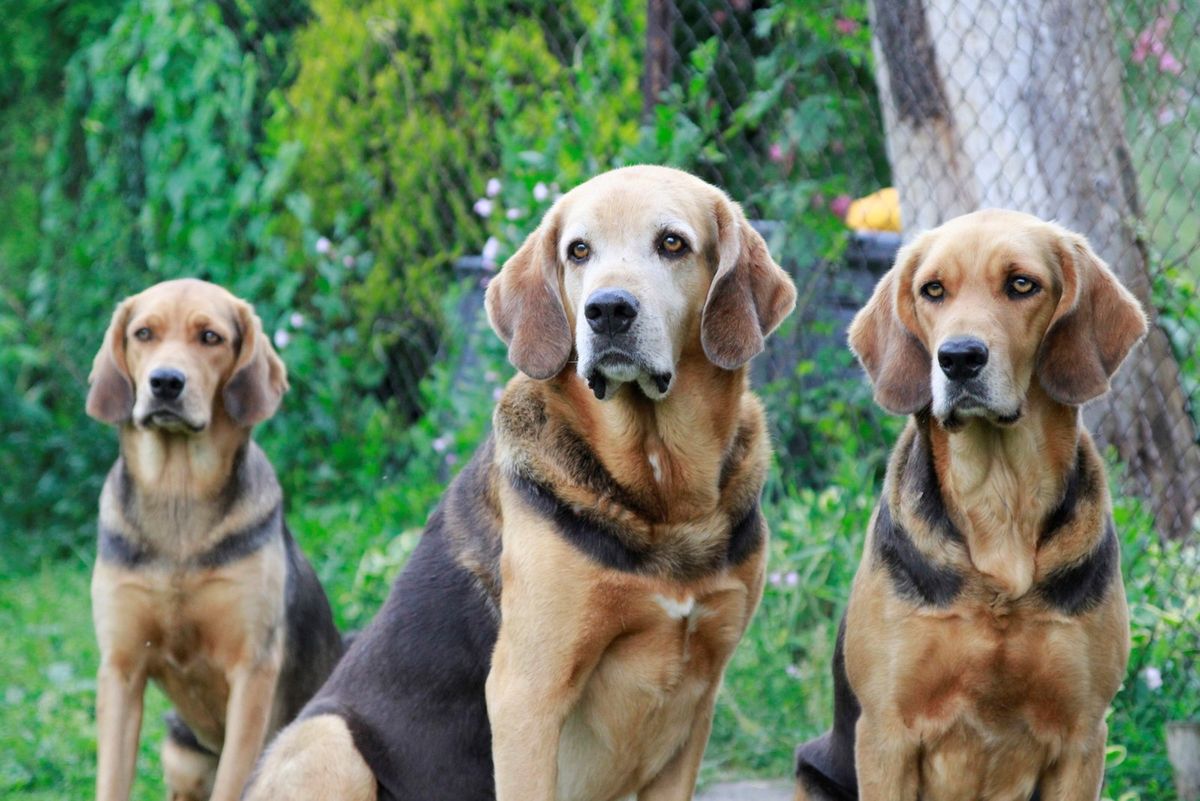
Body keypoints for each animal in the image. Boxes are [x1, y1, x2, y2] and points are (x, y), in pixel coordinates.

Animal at [85, 280, 345, 801]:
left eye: (210, 337)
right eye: (143, 333)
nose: (166, 382)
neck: (179, 495)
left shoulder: (252, 670)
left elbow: (233, 778)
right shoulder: (121, 669)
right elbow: (112, 780)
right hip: (181, 754)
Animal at [241, 165, 796, 796]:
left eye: (672, 243)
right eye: (578, 250)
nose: (608, 311)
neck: (660, 494)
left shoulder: (696, 702)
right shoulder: (528, 692)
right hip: (329, 741)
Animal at [792, 211, 1147, 801]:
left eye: (1022, 284)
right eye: (933, 290)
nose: (958, 358)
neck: (998, 499)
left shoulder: (1082, 739)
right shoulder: (886, 736)